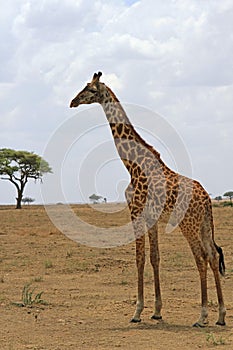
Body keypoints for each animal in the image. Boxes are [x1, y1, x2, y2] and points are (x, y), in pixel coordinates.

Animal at [69, 72, 226, 328]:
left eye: (91, 90)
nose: (73, 101)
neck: (132, 165)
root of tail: (206, 200)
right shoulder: (151, 217)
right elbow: (154, 258)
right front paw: (157, 311)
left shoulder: (135, 211)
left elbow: (139, 258)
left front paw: (137, 311)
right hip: (204, 224)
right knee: (213, 256)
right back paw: (221, 315)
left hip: (188, 224)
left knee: (201, 257)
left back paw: (202, 316)